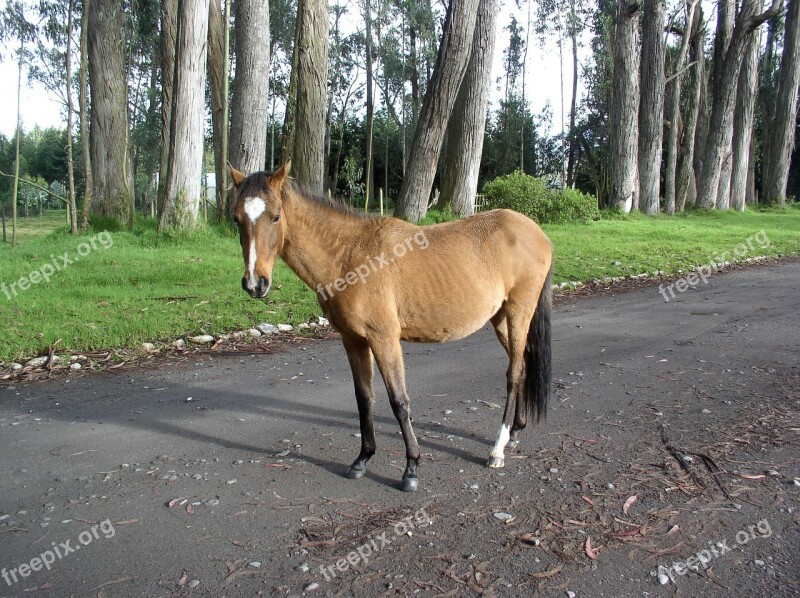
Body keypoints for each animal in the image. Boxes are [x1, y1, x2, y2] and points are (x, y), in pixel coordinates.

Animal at [228, 162, 552, 494]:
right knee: (522, 364)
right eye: (236, 218)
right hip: (501, 319)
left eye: (275, 216)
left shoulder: (384, 339)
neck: (349, 256)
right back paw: (515, 432)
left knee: (513, 374)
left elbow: (398, 401)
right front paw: (362, 460)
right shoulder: (353, 341)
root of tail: (535, 232)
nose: (255, 284)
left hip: (519, 312)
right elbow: (364, 399)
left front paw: (411, 469)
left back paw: (497, 449)